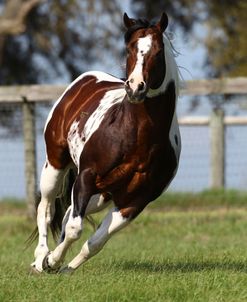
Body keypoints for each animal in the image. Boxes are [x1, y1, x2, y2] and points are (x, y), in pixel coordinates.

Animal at [30, 11, 181, 274]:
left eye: (158, 51)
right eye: (130, 49)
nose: (135, 87)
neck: (137, 139)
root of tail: (84, 80)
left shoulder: (136, 201)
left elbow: (96, 242)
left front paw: (65, 269)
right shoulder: (86, 177)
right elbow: (74, 228)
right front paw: (51, 261)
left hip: (103, 195)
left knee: (68, 213)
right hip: (55, 164)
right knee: (47, 209)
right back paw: (40, 258)